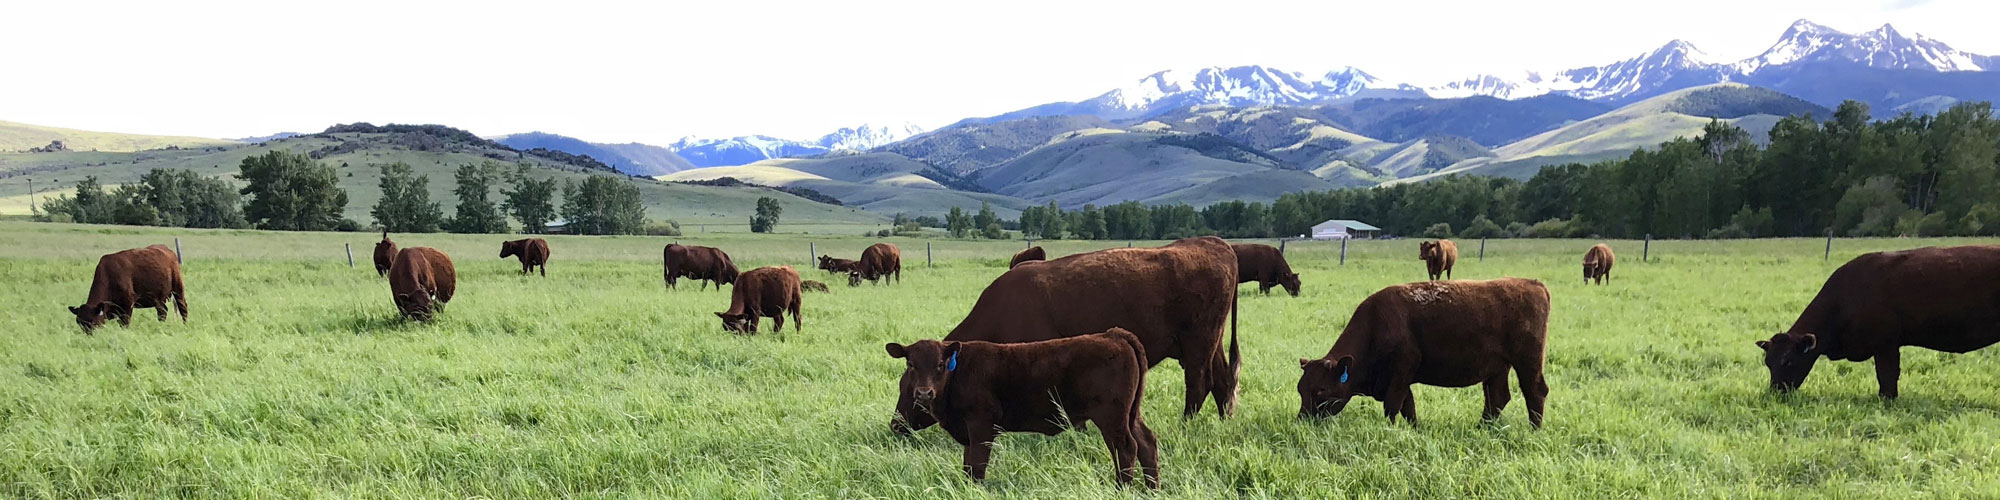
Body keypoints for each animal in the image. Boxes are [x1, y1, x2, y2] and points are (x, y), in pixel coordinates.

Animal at [888, 328, 1168, 488]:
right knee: (1146, 443)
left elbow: (978, 465)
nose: (924, 393)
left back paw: (1122, 488)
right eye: (911, 364)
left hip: (1112, 416)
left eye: (940, 364)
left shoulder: (982, 425)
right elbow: (968, 465)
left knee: (1126, 448)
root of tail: (1114, 335)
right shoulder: (969, 432)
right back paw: (1151, 488)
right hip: (1131, 413)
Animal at [892, 236, 1232, 436]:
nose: (896, 424)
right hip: (1212, 344)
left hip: (1198, 346)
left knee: (1199, 383)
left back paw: (1185, 424)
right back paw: (1224, 420)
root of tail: (1213, 244)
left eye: (910, 387)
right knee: (1223, 380)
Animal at [1288, 278, 1552, 426]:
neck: (1376, 323)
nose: (1302, 420)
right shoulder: (1401, 379)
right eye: (1301, 389)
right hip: (1498, 368)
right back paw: (1483, 428)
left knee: (1535, 391)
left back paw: (1534, 430)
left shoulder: (1401, 372)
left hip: (1527, 362)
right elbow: (1409, 409)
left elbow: (1393, 406)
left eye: (1321, 389)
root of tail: (1533, 284)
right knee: (1497, 398)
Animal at [1752, 244, 2000, 400]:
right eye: (1768, 363)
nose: (1775, 393)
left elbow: (1887, 376)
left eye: (1788, 361)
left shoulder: (1886, 345)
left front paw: (1887, 400)